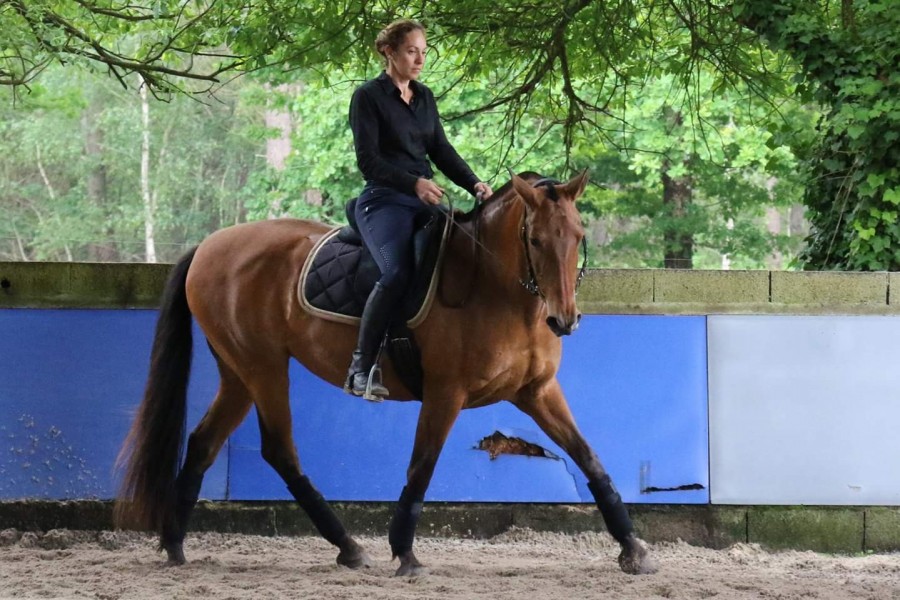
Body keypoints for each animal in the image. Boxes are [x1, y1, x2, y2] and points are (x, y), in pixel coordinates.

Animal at [116, 170, 656, 576]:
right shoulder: (445, 393)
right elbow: (422, 466)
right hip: (264, 367)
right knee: (279, 451)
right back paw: (348, 545)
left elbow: (588, 458)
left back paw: (176, 544)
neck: (497, 290)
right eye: (537, 239)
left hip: (238, 372)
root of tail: (208, 246)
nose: (564, 320)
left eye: (579, 237)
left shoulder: (537, 391)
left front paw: (633, 548)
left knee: (203, 443)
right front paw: (405, 552)